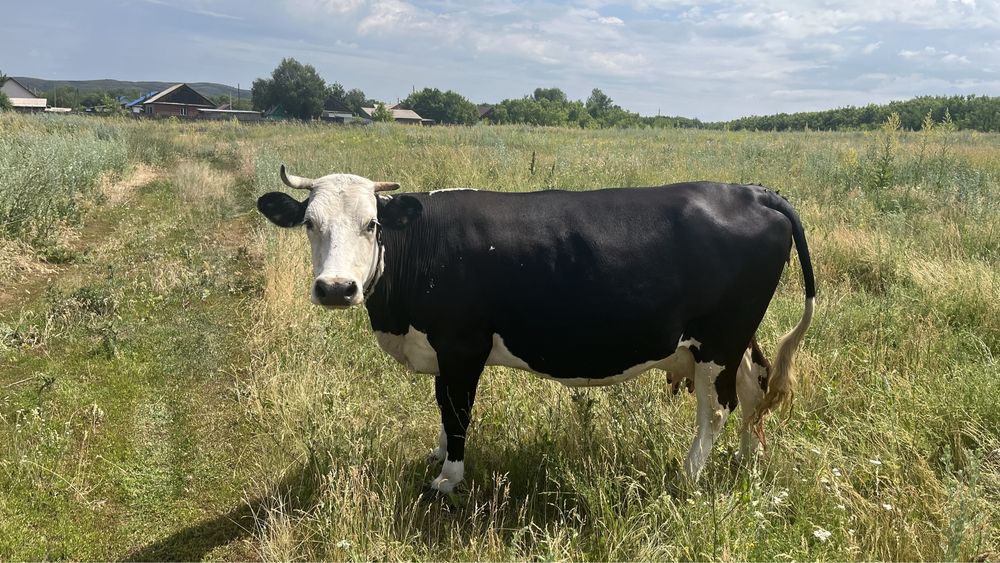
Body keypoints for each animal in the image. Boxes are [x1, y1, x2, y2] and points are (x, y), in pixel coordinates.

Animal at [257, 165, 816, 493]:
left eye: (371, 224)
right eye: (310, 223)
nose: (336, 288)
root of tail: (752, 191)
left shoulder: (462, 345)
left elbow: (457, 411)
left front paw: (448, 478)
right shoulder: (442, 352)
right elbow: (442, 407)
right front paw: (437, 455)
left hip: (721, 337)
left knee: (716, 408)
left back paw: (687, 476)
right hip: (729, 339)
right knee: (752, 387)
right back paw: (749, 461)